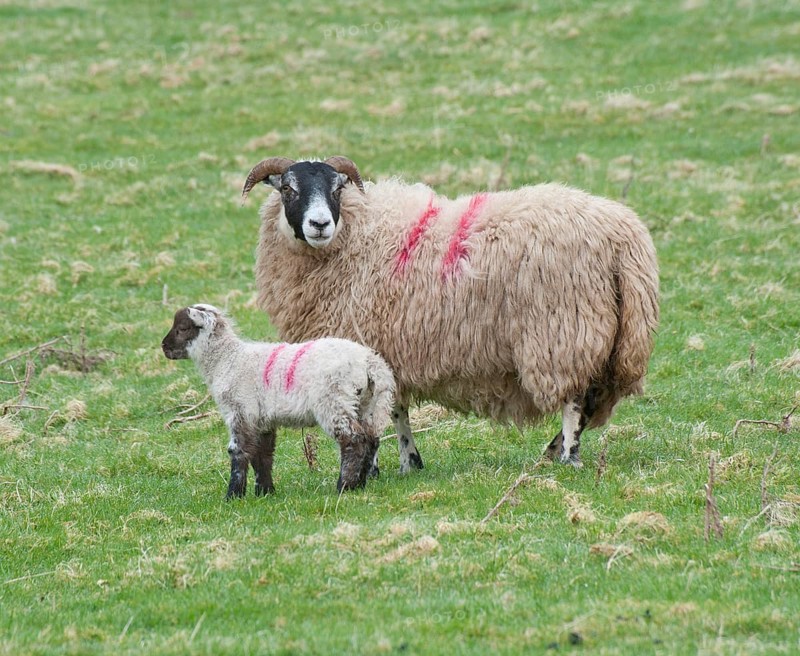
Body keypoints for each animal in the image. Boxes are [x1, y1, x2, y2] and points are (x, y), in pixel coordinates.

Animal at [161, 303, 395, 496]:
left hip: (334, 401)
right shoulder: (261, 418)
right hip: (366, 403)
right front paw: (264, 492)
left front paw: (234, 494)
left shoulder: (240, 410)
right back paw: (360, 484)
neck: (227, 360)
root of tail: (370, 362)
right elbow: (262, 454)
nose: (164, 347)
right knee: (371, 439)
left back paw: (344, 486)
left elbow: (238, 451)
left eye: (182, 328)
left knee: (353, 440)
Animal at [240, 156, 659, 472]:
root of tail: (624, 236)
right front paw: (408, 463)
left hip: (564, 329)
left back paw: (567, 456)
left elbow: (380, 411)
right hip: (610, 336)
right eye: (287, 188)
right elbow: (397, 409)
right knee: (591, 399)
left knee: (575, 398)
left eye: (337, 188)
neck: (358, 235)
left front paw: (375, 466)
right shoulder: (390, 348)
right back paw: (553, 450)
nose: (319, 224)